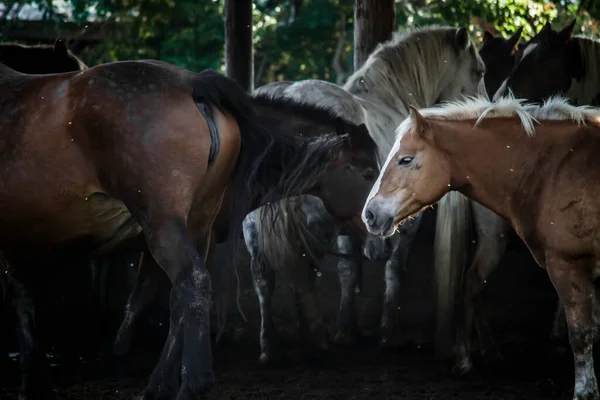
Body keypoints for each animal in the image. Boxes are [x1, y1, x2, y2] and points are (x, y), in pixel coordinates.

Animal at [360, 94, 600, 400]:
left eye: (406, 159)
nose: (369, 214)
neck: (553, 167)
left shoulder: (567, 264)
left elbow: (582, 332)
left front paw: (584, 391)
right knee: (473, 281)